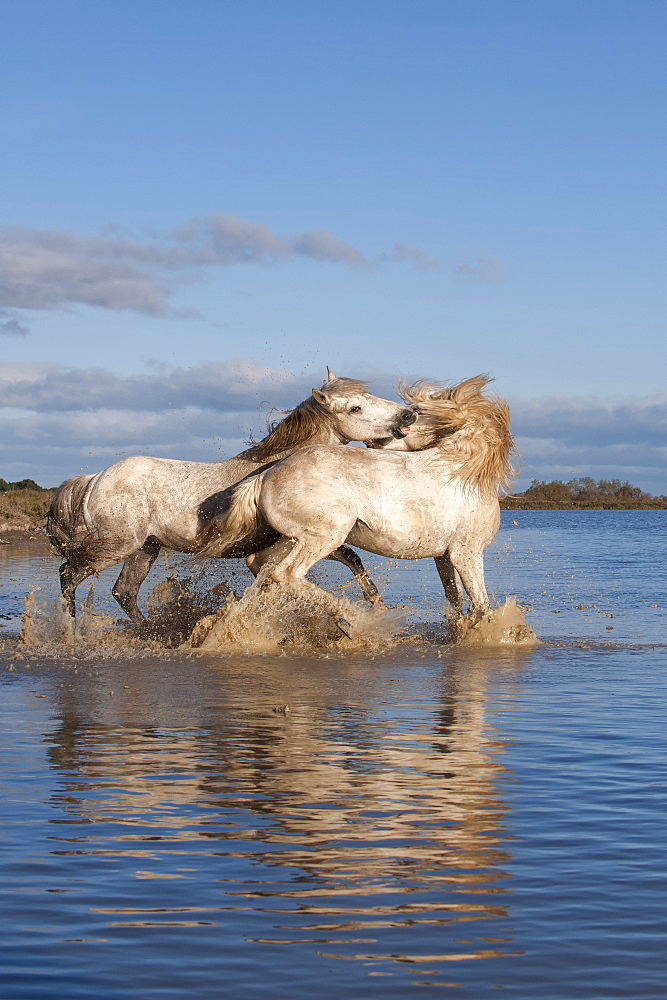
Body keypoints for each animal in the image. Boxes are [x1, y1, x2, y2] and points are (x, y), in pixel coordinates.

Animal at [48, 372, 412, 620]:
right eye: (355, 407)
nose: (408, 415)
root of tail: (94, 479)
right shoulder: (299, 538)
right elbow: (343, 559)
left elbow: (352, 559)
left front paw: (378, 607)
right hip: (116, 546)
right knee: (69, 574)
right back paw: (72, 633)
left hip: (144, 549)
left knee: (123, 592)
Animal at [193, 378, 516, 620]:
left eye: (418, 412)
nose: (407, 415)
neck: (462, 471)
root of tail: (265, 476)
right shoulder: (467, 552)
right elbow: (482, 606)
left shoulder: (444, 556)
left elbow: (455, 601)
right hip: (326, 536)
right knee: (288, 574)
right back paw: (354, 618)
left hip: (291, 538)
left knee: (262, 565)